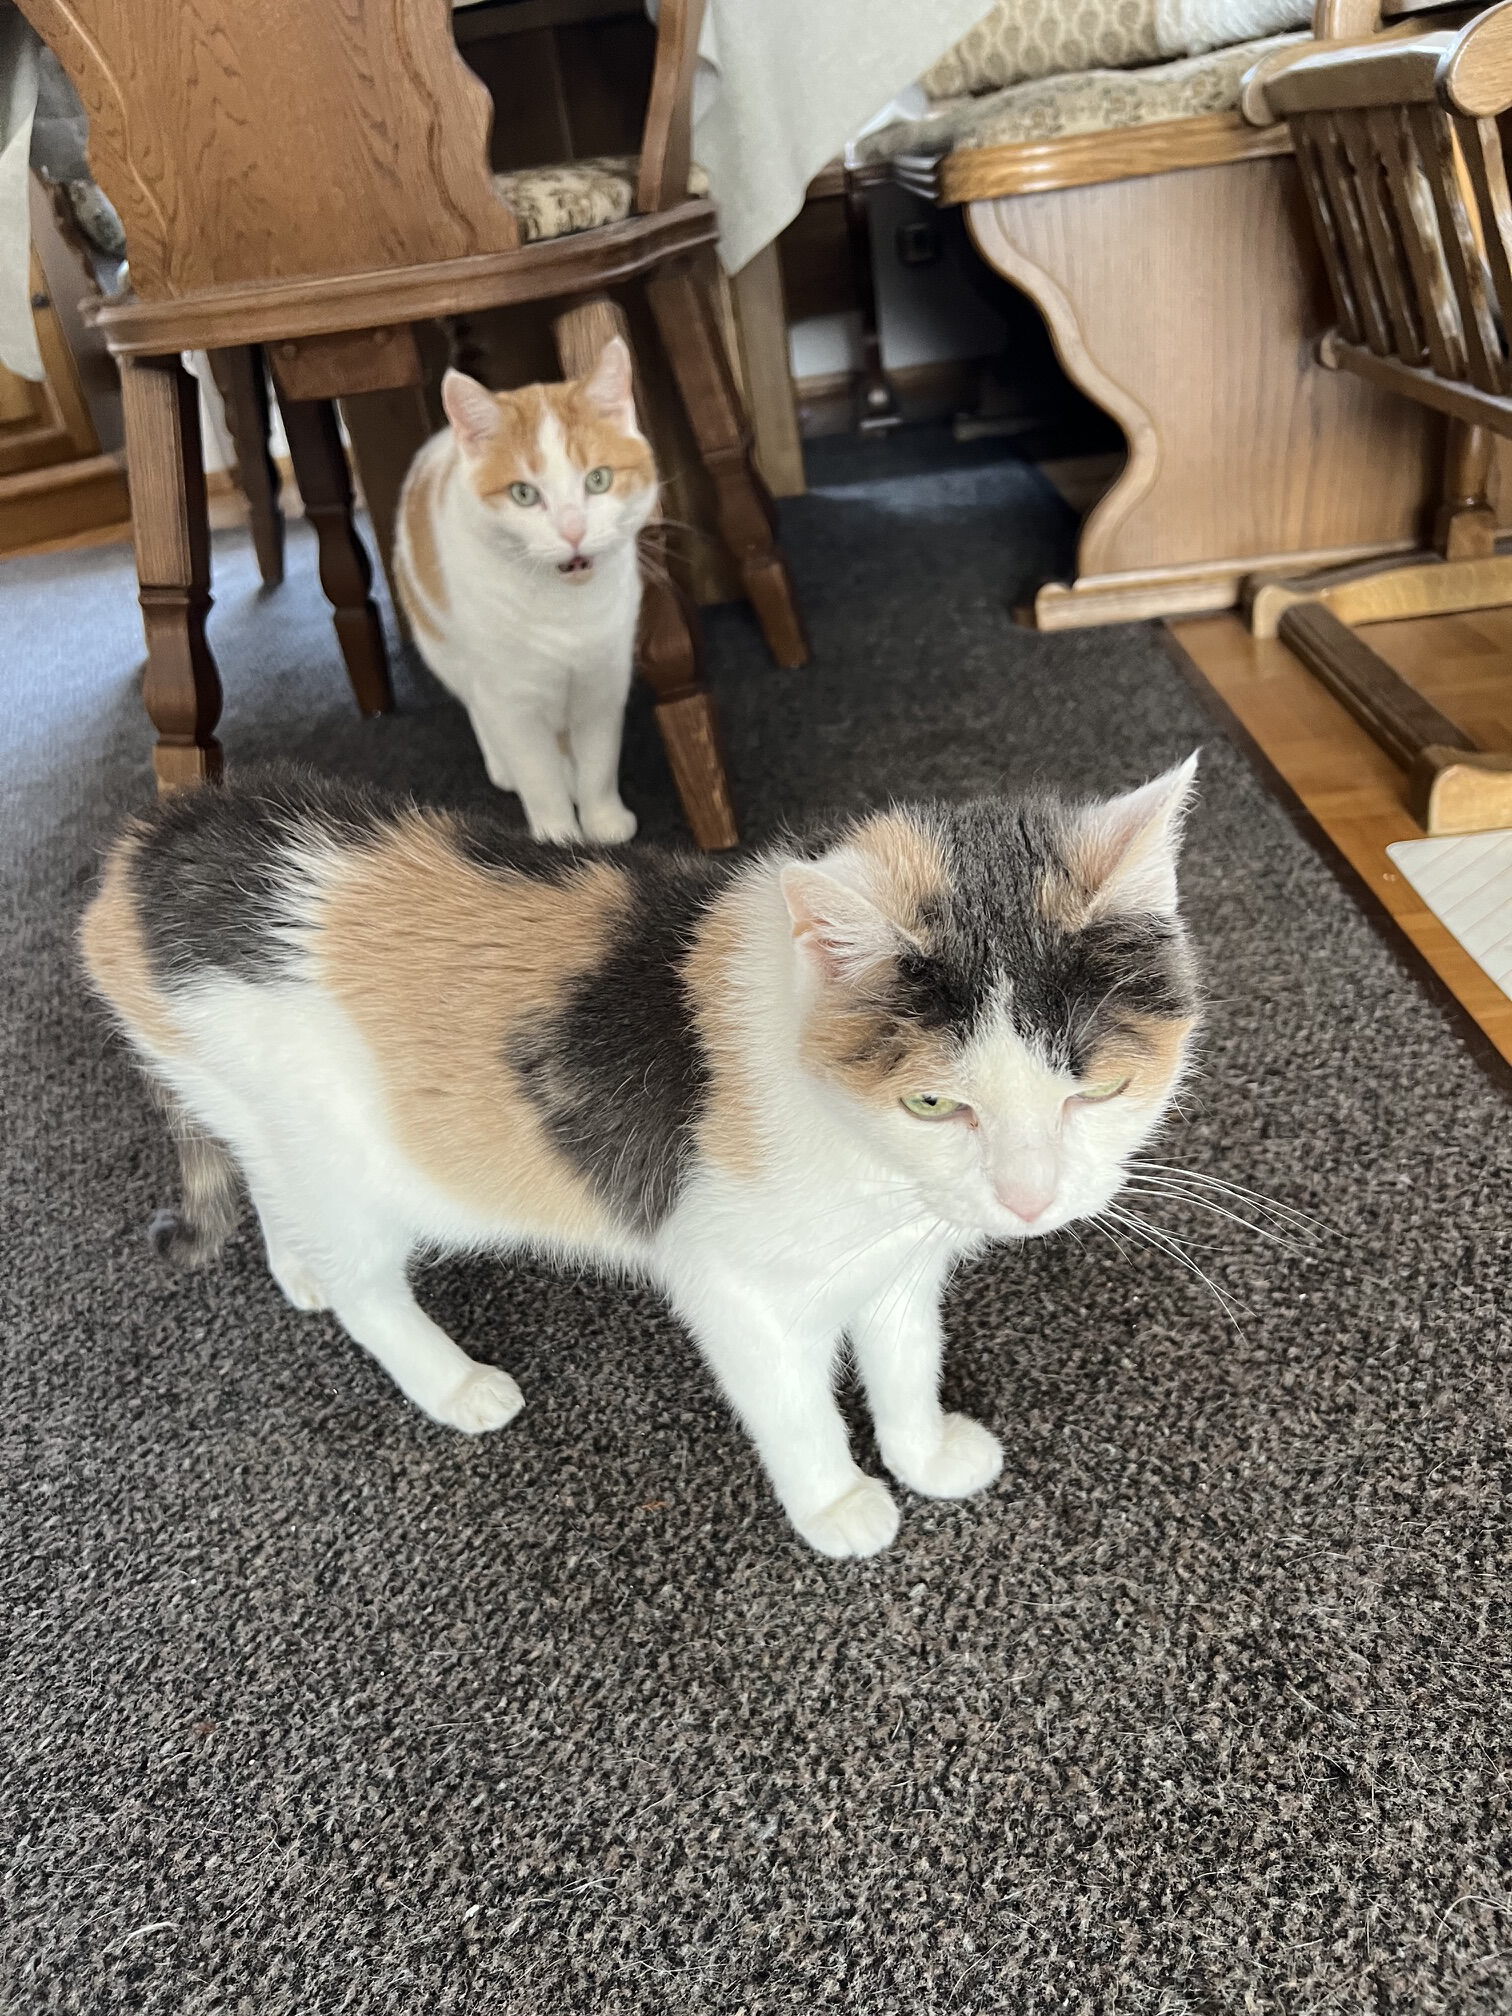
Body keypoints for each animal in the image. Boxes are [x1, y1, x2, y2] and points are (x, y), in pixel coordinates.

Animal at [80, 758, 1200, 1559]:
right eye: (933, 1102)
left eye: (1098, 1089)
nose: (1029, 1197)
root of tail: (143, 850)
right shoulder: (733, 1286)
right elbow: (794, 1405)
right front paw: (839, 1502)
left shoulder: (895, 1269)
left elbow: (906, 1362)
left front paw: (923, 1455)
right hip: (344, 1162)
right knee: (367, 1286)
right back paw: (451, 1382)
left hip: (268, 1121)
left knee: (266, 1178)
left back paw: (298, 1269)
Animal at [393, 337, 658, 846]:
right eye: (523, 494)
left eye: (598, 479)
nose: (573, 531)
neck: (568, 610)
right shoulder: (511, 698)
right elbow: (539, 776)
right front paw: (559, 836)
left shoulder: (603, 679)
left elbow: (599, 762)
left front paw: (603, 819)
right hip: (446, 648)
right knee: (476, 706)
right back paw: (504, 766)